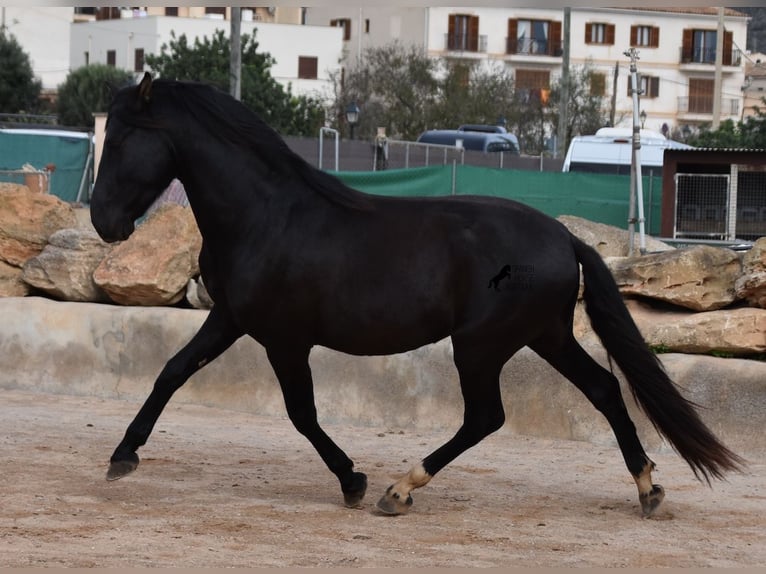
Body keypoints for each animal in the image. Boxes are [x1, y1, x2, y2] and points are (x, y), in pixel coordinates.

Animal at [90, 74, 744, 520]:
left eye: (120, 139)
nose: (102, 222)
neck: (267, 216)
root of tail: (565, 238)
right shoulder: (231, 318)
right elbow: (171, 372)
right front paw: (122, 456)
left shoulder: (283, 339)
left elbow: (301, 413)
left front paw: (353, 481)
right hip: (546, 335)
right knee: (605, 390)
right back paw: (648, 489)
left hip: (481, 345)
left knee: (486, 416)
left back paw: (399, 488)